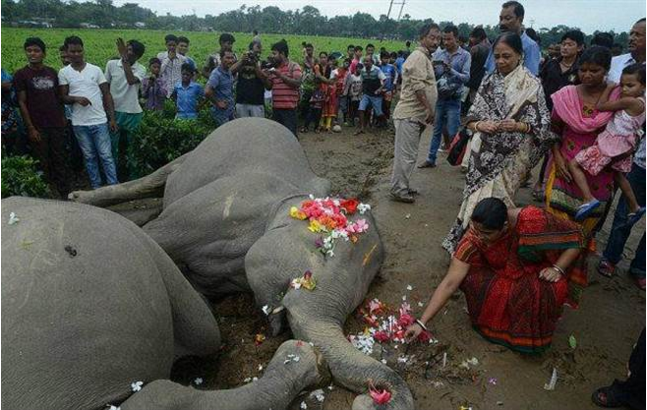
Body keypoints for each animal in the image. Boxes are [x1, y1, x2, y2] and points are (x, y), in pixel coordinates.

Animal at [71, 117, 416, 408]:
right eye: (322, 251)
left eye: (363, 295)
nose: (374, 398)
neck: (292, 198)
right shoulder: (218, 206)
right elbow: (155, 236)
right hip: (198, 153)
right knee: (158, 178)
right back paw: (78, 199)